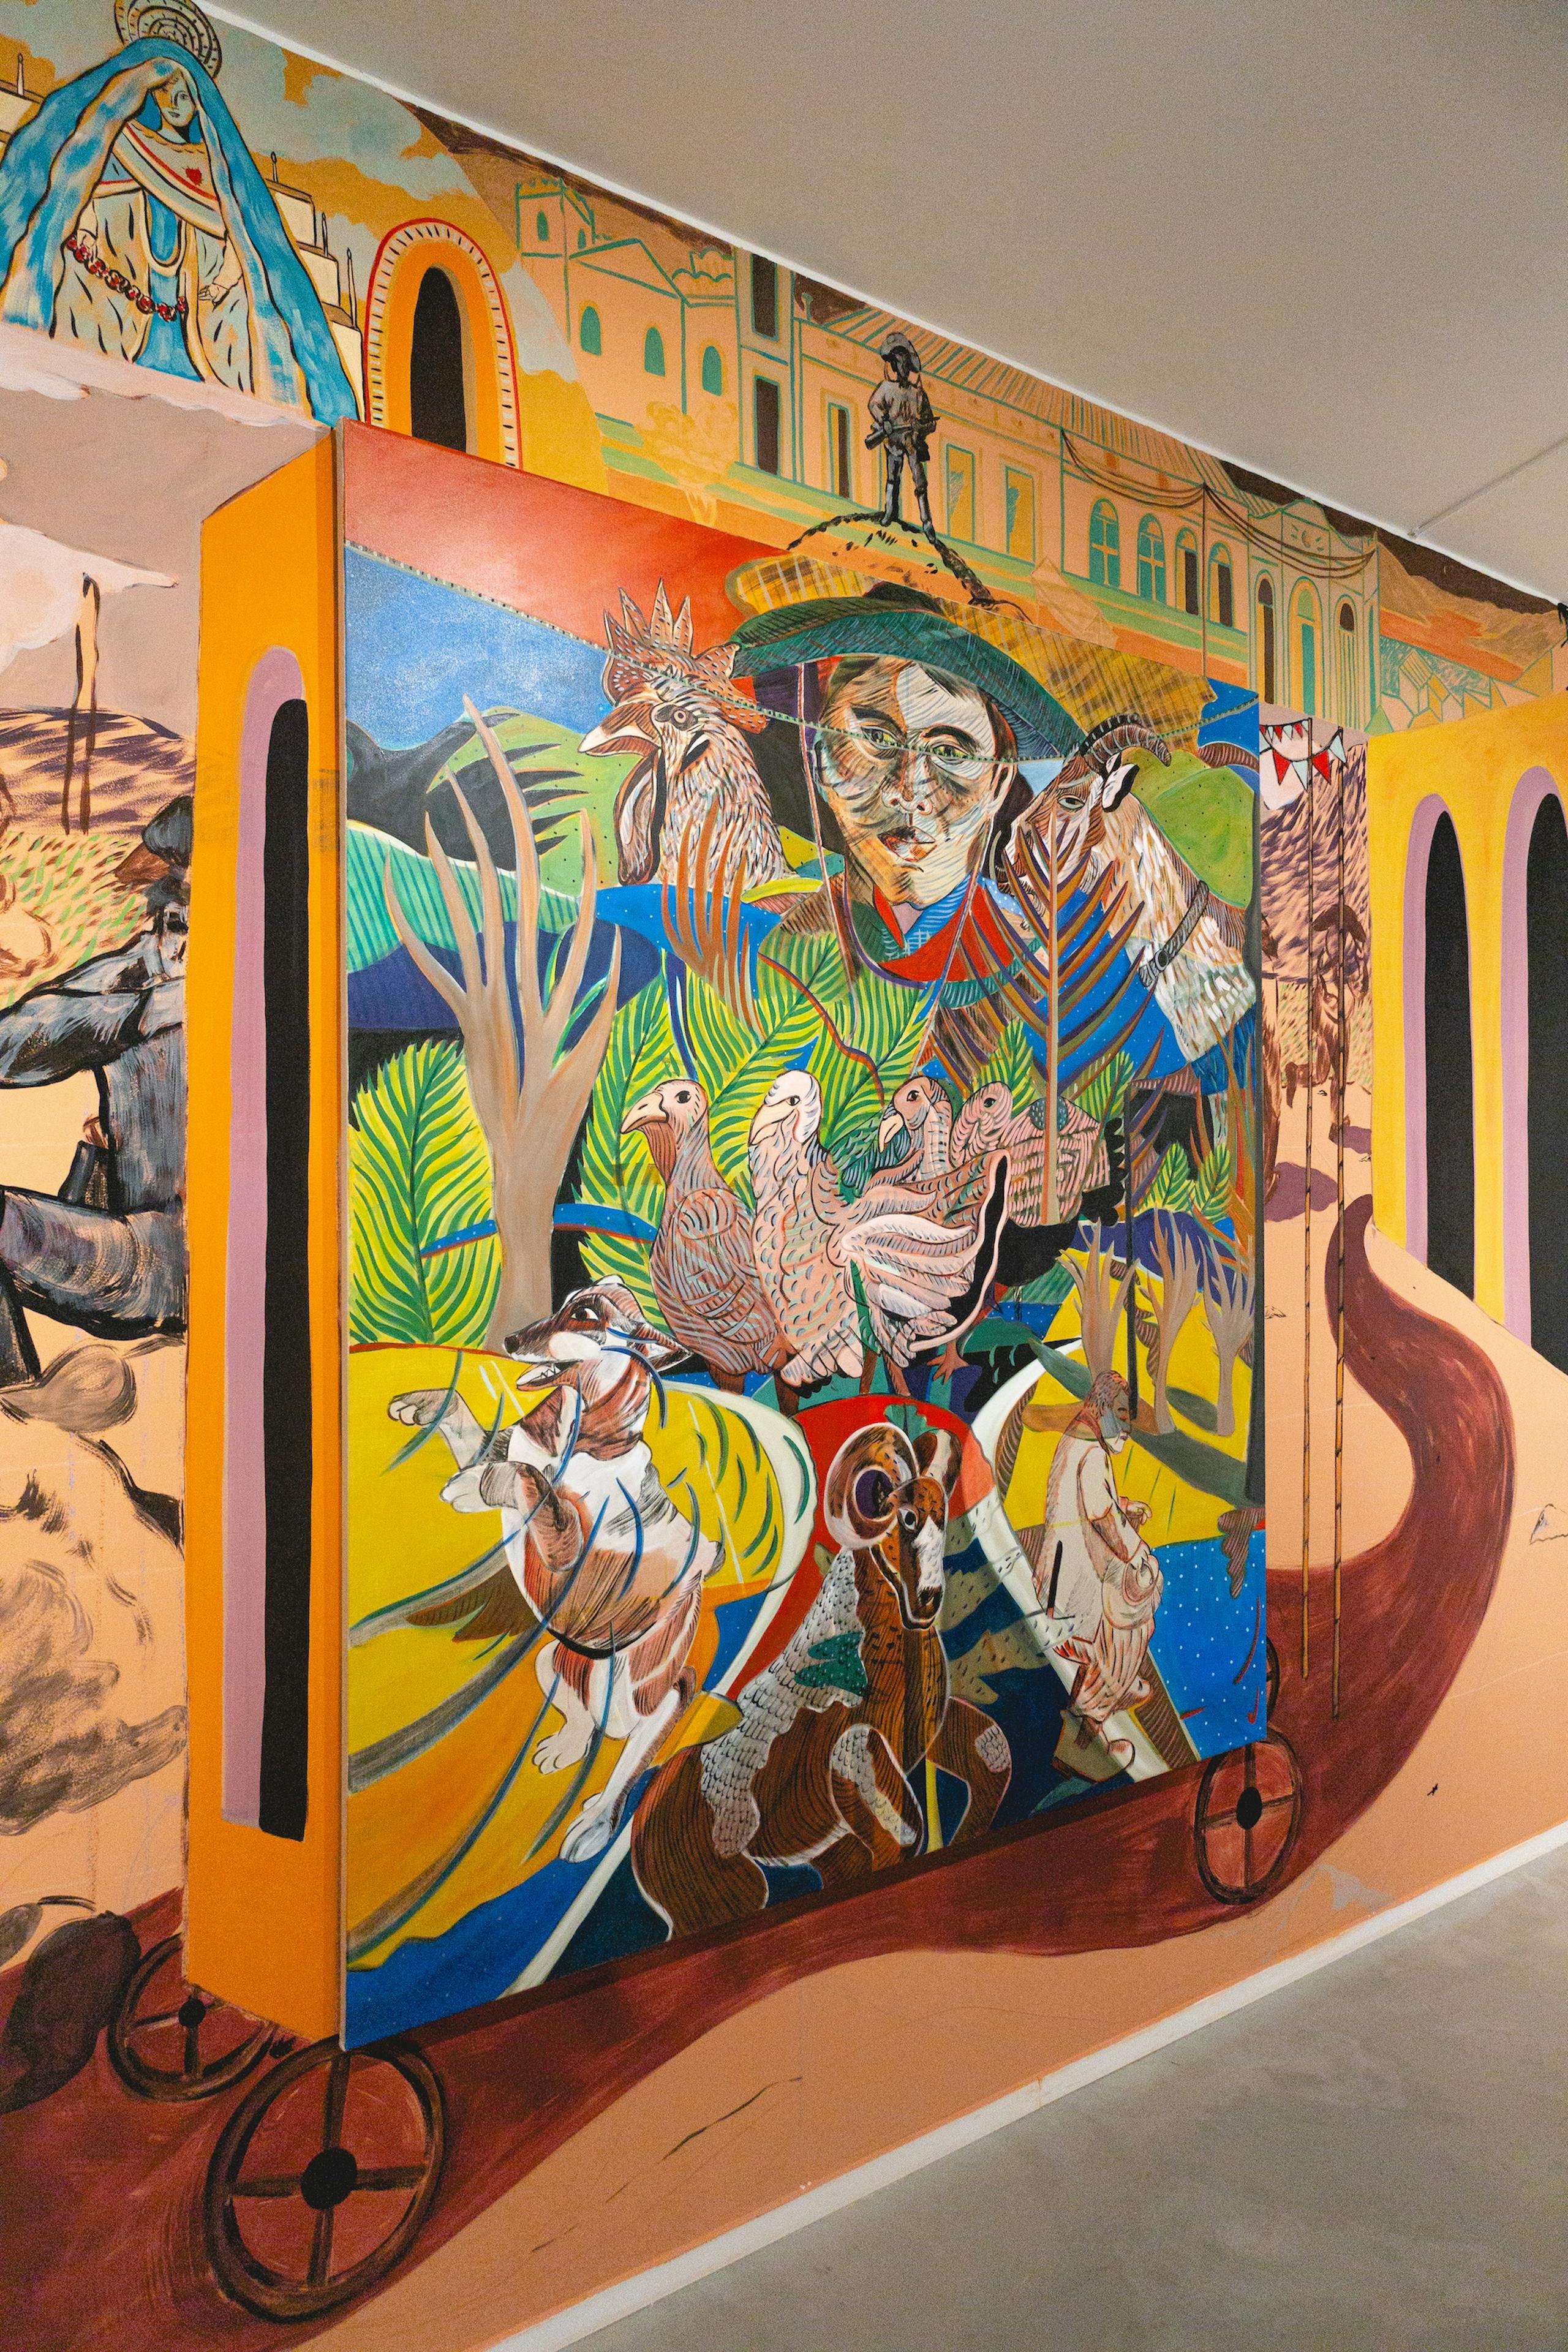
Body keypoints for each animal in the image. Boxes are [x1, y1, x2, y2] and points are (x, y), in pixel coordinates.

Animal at [630, 1418, 1011, 1932]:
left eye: (941, 1514)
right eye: (907, 1518)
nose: (929, 1599)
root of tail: (640, 1833)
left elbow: (992, 1754)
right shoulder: (855, 1754)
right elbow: (904, 1836)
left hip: (827, 1852)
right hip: (732, 1897)